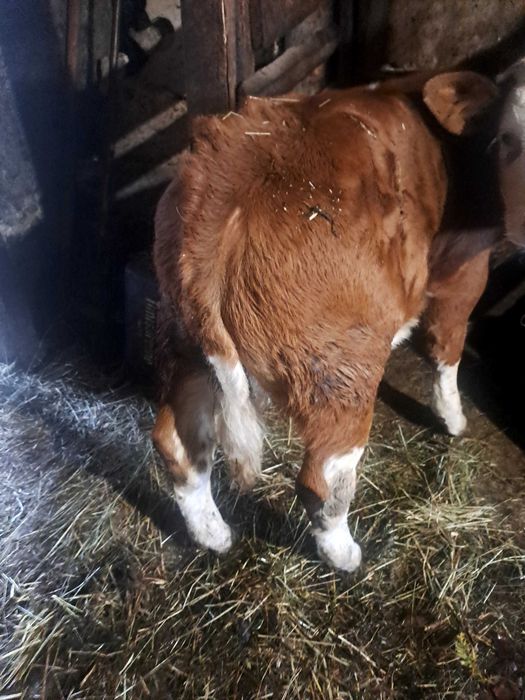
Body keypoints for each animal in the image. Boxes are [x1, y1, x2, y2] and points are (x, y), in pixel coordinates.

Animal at [151, 69, 512, 572]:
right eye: (511, 137)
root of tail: (229, 172)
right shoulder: (466, 270)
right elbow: (448, 348)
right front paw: (454, 419)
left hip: (182, 335)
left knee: (178, 444)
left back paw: (215, 536)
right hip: (341, 364)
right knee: (323, 477)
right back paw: (346, 556)